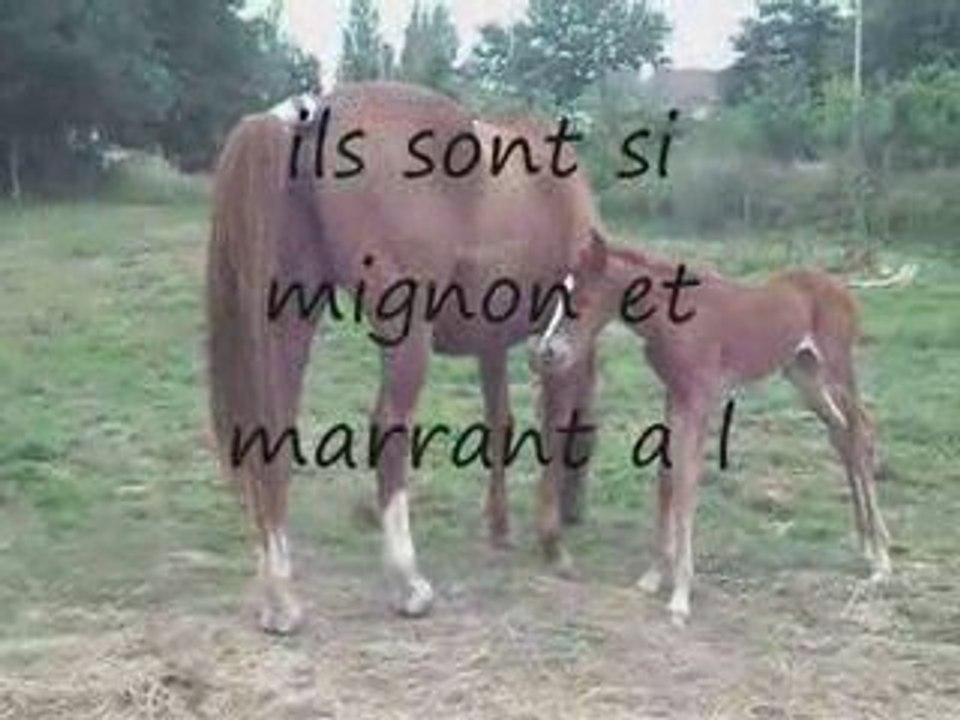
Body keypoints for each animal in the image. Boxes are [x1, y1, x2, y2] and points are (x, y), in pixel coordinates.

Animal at [206, 82, 600, 634]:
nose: (576, 512)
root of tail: (310, 116)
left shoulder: (492, 345)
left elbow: (499, 423)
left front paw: (500, 527)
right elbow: (552, 429)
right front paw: (553, 543)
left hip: (290, 317)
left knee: (273, 427)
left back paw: (280, 596)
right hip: (405, 334)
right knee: (388, 429)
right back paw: (407, 583)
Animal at [533, 230, 892, 626]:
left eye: (581, 299)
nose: (547, 352)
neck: (671, 319)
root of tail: (840, 285)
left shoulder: (699, 401)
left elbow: (687, 483)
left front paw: (680, 596)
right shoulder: (674, 396)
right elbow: (666, 478)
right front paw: (655, 576)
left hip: (838, 367)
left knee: (861, 431)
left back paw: (881, 560)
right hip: (803, 373)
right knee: (841, 433)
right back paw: (865, 545)